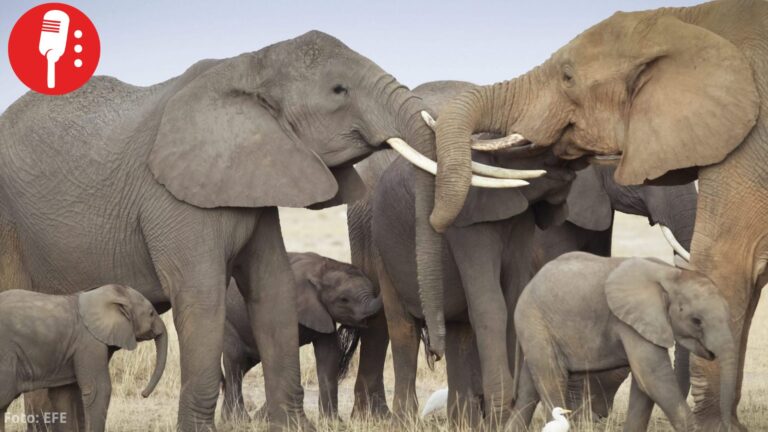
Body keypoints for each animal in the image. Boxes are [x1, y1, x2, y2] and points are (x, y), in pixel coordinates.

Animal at [221, 252, 381, 421]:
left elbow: (328, 356)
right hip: (227, 323)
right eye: (344, 299)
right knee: (235, 362)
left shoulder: (323, 312)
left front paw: (333, 422)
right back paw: (238, 420)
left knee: (242, 366)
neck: (321, 269)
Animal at [512, 252, 734, 432]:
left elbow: (643, 383)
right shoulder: (631, 320)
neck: (671, 275)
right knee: (552, 378)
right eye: (696, 320)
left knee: (529, 388)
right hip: (534, 320)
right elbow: (653, 376)